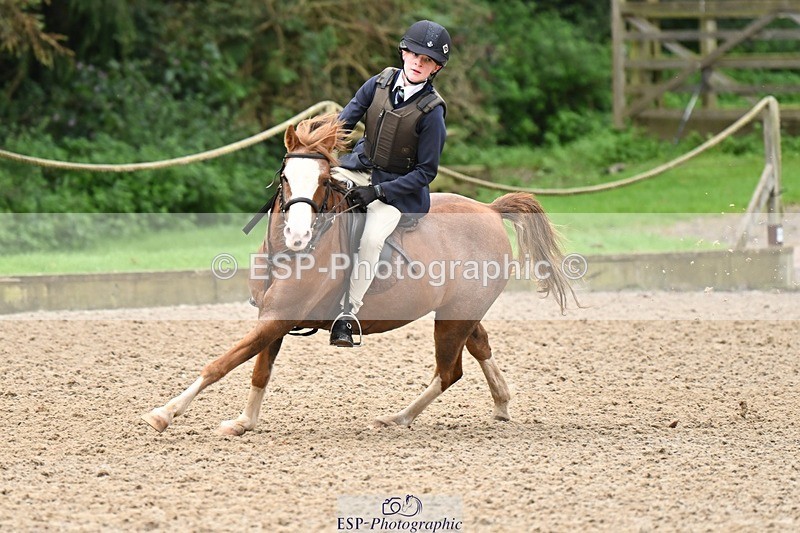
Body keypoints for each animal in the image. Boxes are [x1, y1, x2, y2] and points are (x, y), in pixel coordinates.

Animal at [142, 113, 575, 435]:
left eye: (323, 181)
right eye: (285, 178)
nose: (297, 236)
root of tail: (489, 209)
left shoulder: (278, 317)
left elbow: (224, 362)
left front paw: (165, 413)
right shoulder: (271, 316)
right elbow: (260, 368)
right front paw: (244, 422)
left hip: (453, 318)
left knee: (449, 371)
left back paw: (398, 418)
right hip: (461, 312)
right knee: (479, 347)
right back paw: (500, 403)